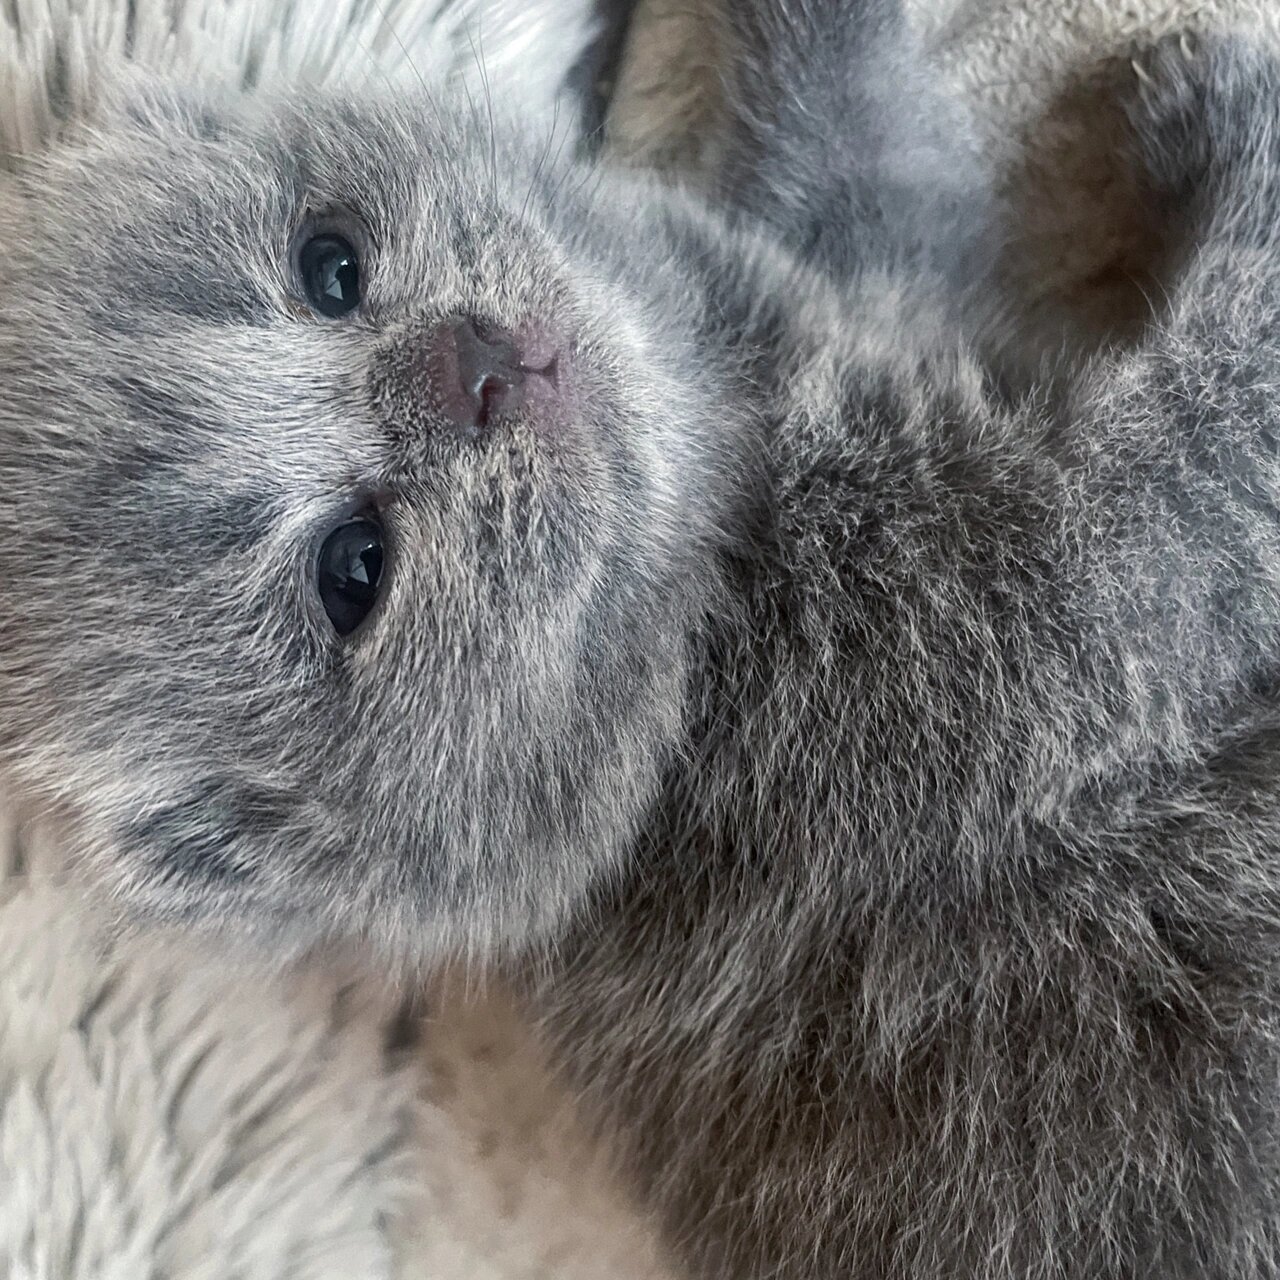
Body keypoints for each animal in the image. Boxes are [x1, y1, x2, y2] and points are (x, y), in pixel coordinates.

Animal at [2, 2, 1280, 1280]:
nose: (473, 366)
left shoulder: (870, 292)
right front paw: (1235, 139)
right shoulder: (993, 643)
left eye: (330, 268)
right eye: (352, 569)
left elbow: (867, 172)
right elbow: (1174, 500)